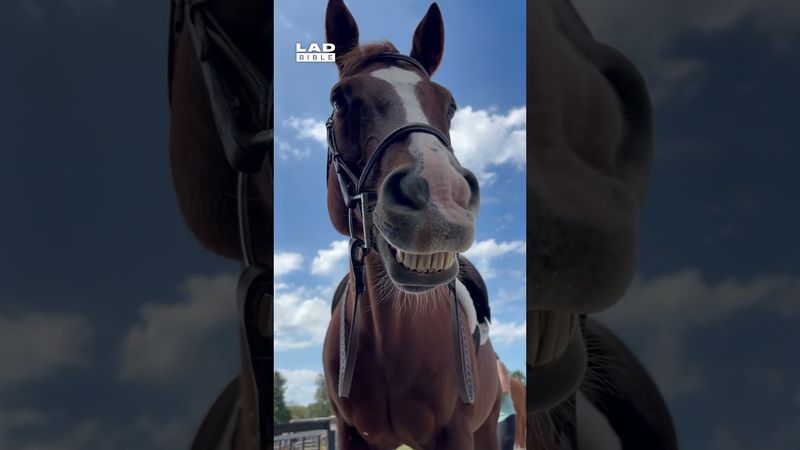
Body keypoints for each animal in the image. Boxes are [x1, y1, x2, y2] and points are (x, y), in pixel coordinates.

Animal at [320, 1, 501, 449]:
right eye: (340, 101)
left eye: (449, 104)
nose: (440, 199)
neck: (392, 338)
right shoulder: (350, 433)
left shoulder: (457, 433)